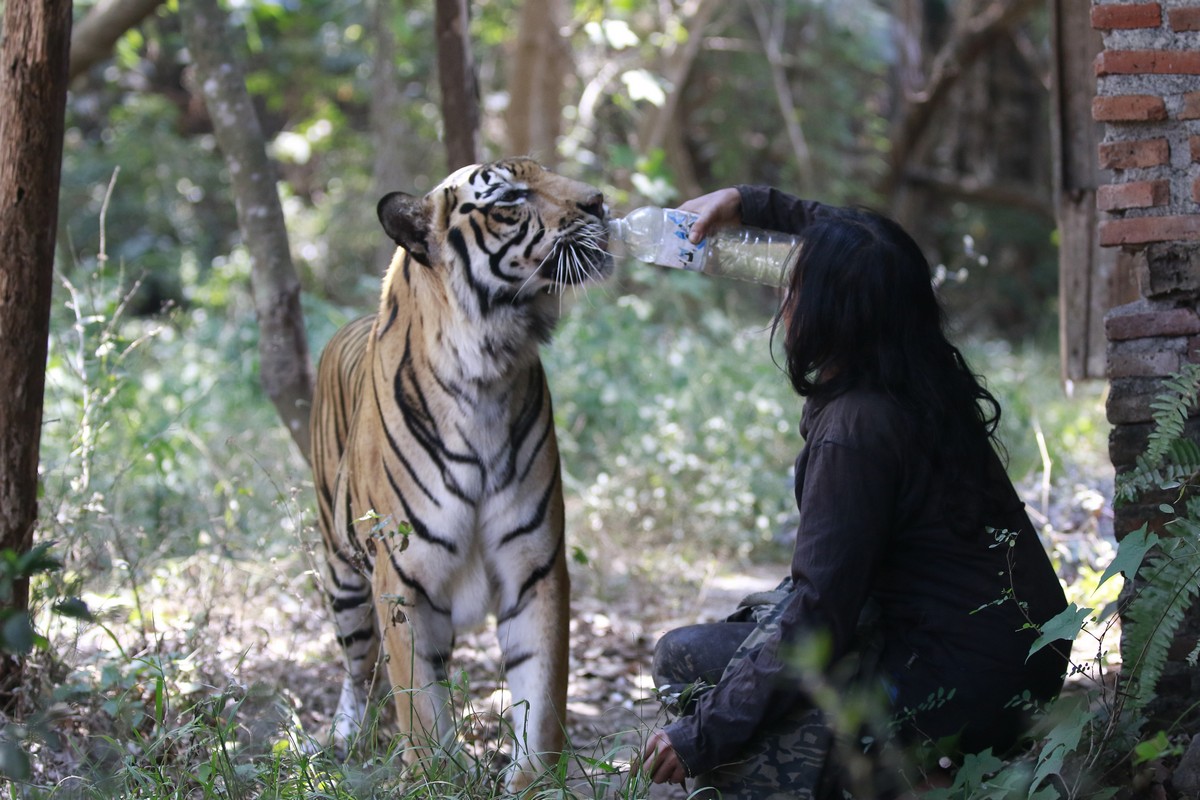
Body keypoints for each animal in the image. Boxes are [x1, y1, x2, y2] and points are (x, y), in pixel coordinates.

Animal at [312, 155, 609, 786]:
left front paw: (532, 782)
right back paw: (346, 739)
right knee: (358, 667)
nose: (600, 201)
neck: (486, 372)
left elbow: (541, 692)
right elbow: (418, 703)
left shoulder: (535, 564)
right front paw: (432, 776)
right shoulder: (401, 577)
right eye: (511, 197)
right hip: (343, 578)